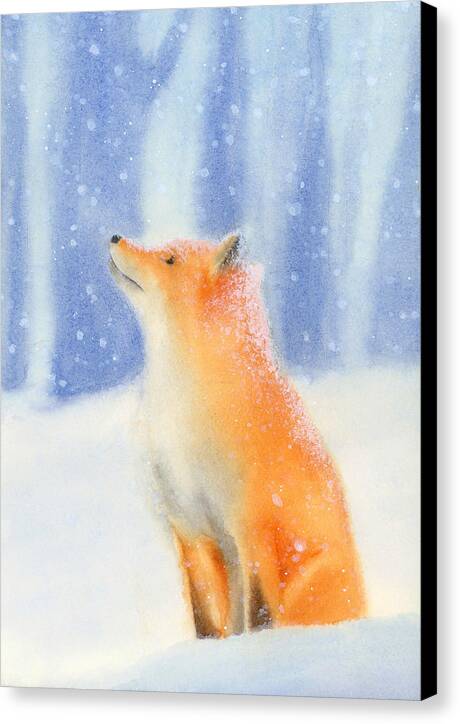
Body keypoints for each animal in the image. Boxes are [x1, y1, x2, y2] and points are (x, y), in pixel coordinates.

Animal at [109, 231, 366, 638]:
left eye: (169, 260)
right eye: (163, 249)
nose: (116, 236)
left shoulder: (251, 527)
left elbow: (258, 613)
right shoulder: (190, 527)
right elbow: (203, 616)